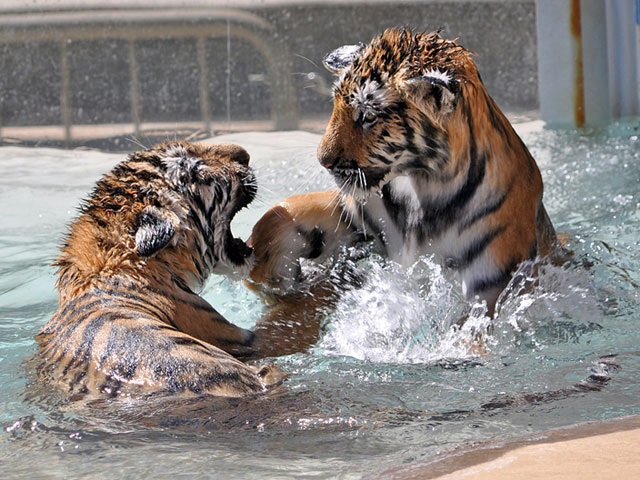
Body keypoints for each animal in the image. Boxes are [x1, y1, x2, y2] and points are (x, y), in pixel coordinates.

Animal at [248, 28, 561, 343]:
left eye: (368, 116)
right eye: (335, 106)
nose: (323, 160)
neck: (422, 192)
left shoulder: (490, 283)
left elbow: (467, 332)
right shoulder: (361, 217)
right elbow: (283, 213)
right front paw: (269, 274)